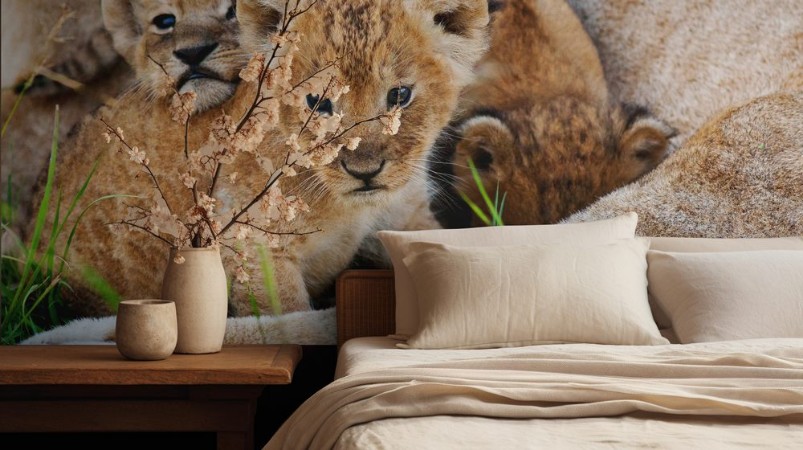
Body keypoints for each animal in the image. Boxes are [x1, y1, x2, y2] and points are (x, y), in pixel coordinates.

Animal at [30, 0, 490, 320]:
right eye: (317, 102)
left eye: (400, 95)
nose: (364, 172)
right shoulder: (254, 248)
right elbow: (291, 319)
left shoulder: (406, 216)